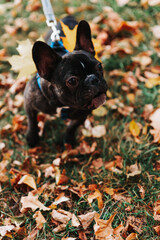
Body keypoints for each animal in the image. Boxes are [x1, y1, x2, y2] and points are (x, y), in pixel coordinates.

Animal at [23, 16, 108, 146]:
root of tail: (67, 17)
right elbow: (31, 121)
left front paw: (69, 139)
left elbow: (73, 126)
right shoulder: (29, 101)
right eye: (72, 81)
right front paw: (32, 137)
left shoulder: (83, 113)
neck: (61, 104)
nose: (93, 79)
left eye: (99, 66)